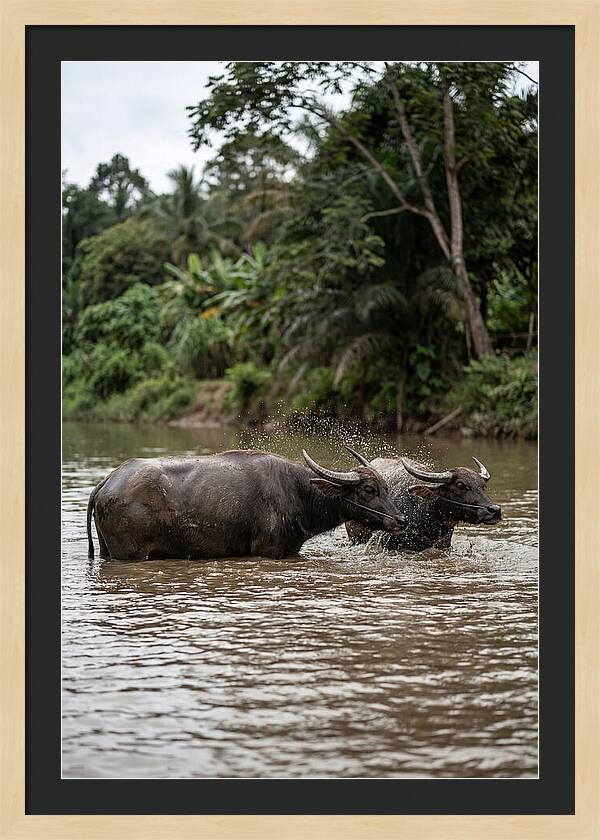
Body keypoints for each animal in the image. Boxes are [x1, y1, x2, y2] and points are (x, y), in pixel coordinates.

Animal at [87, 447, 406, 561]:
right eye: (369, 489)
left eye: (386, 487)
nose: (401, 520)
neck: (297, 492)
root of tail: (108, 481)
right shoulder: (267, 550)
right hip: (131, 554)